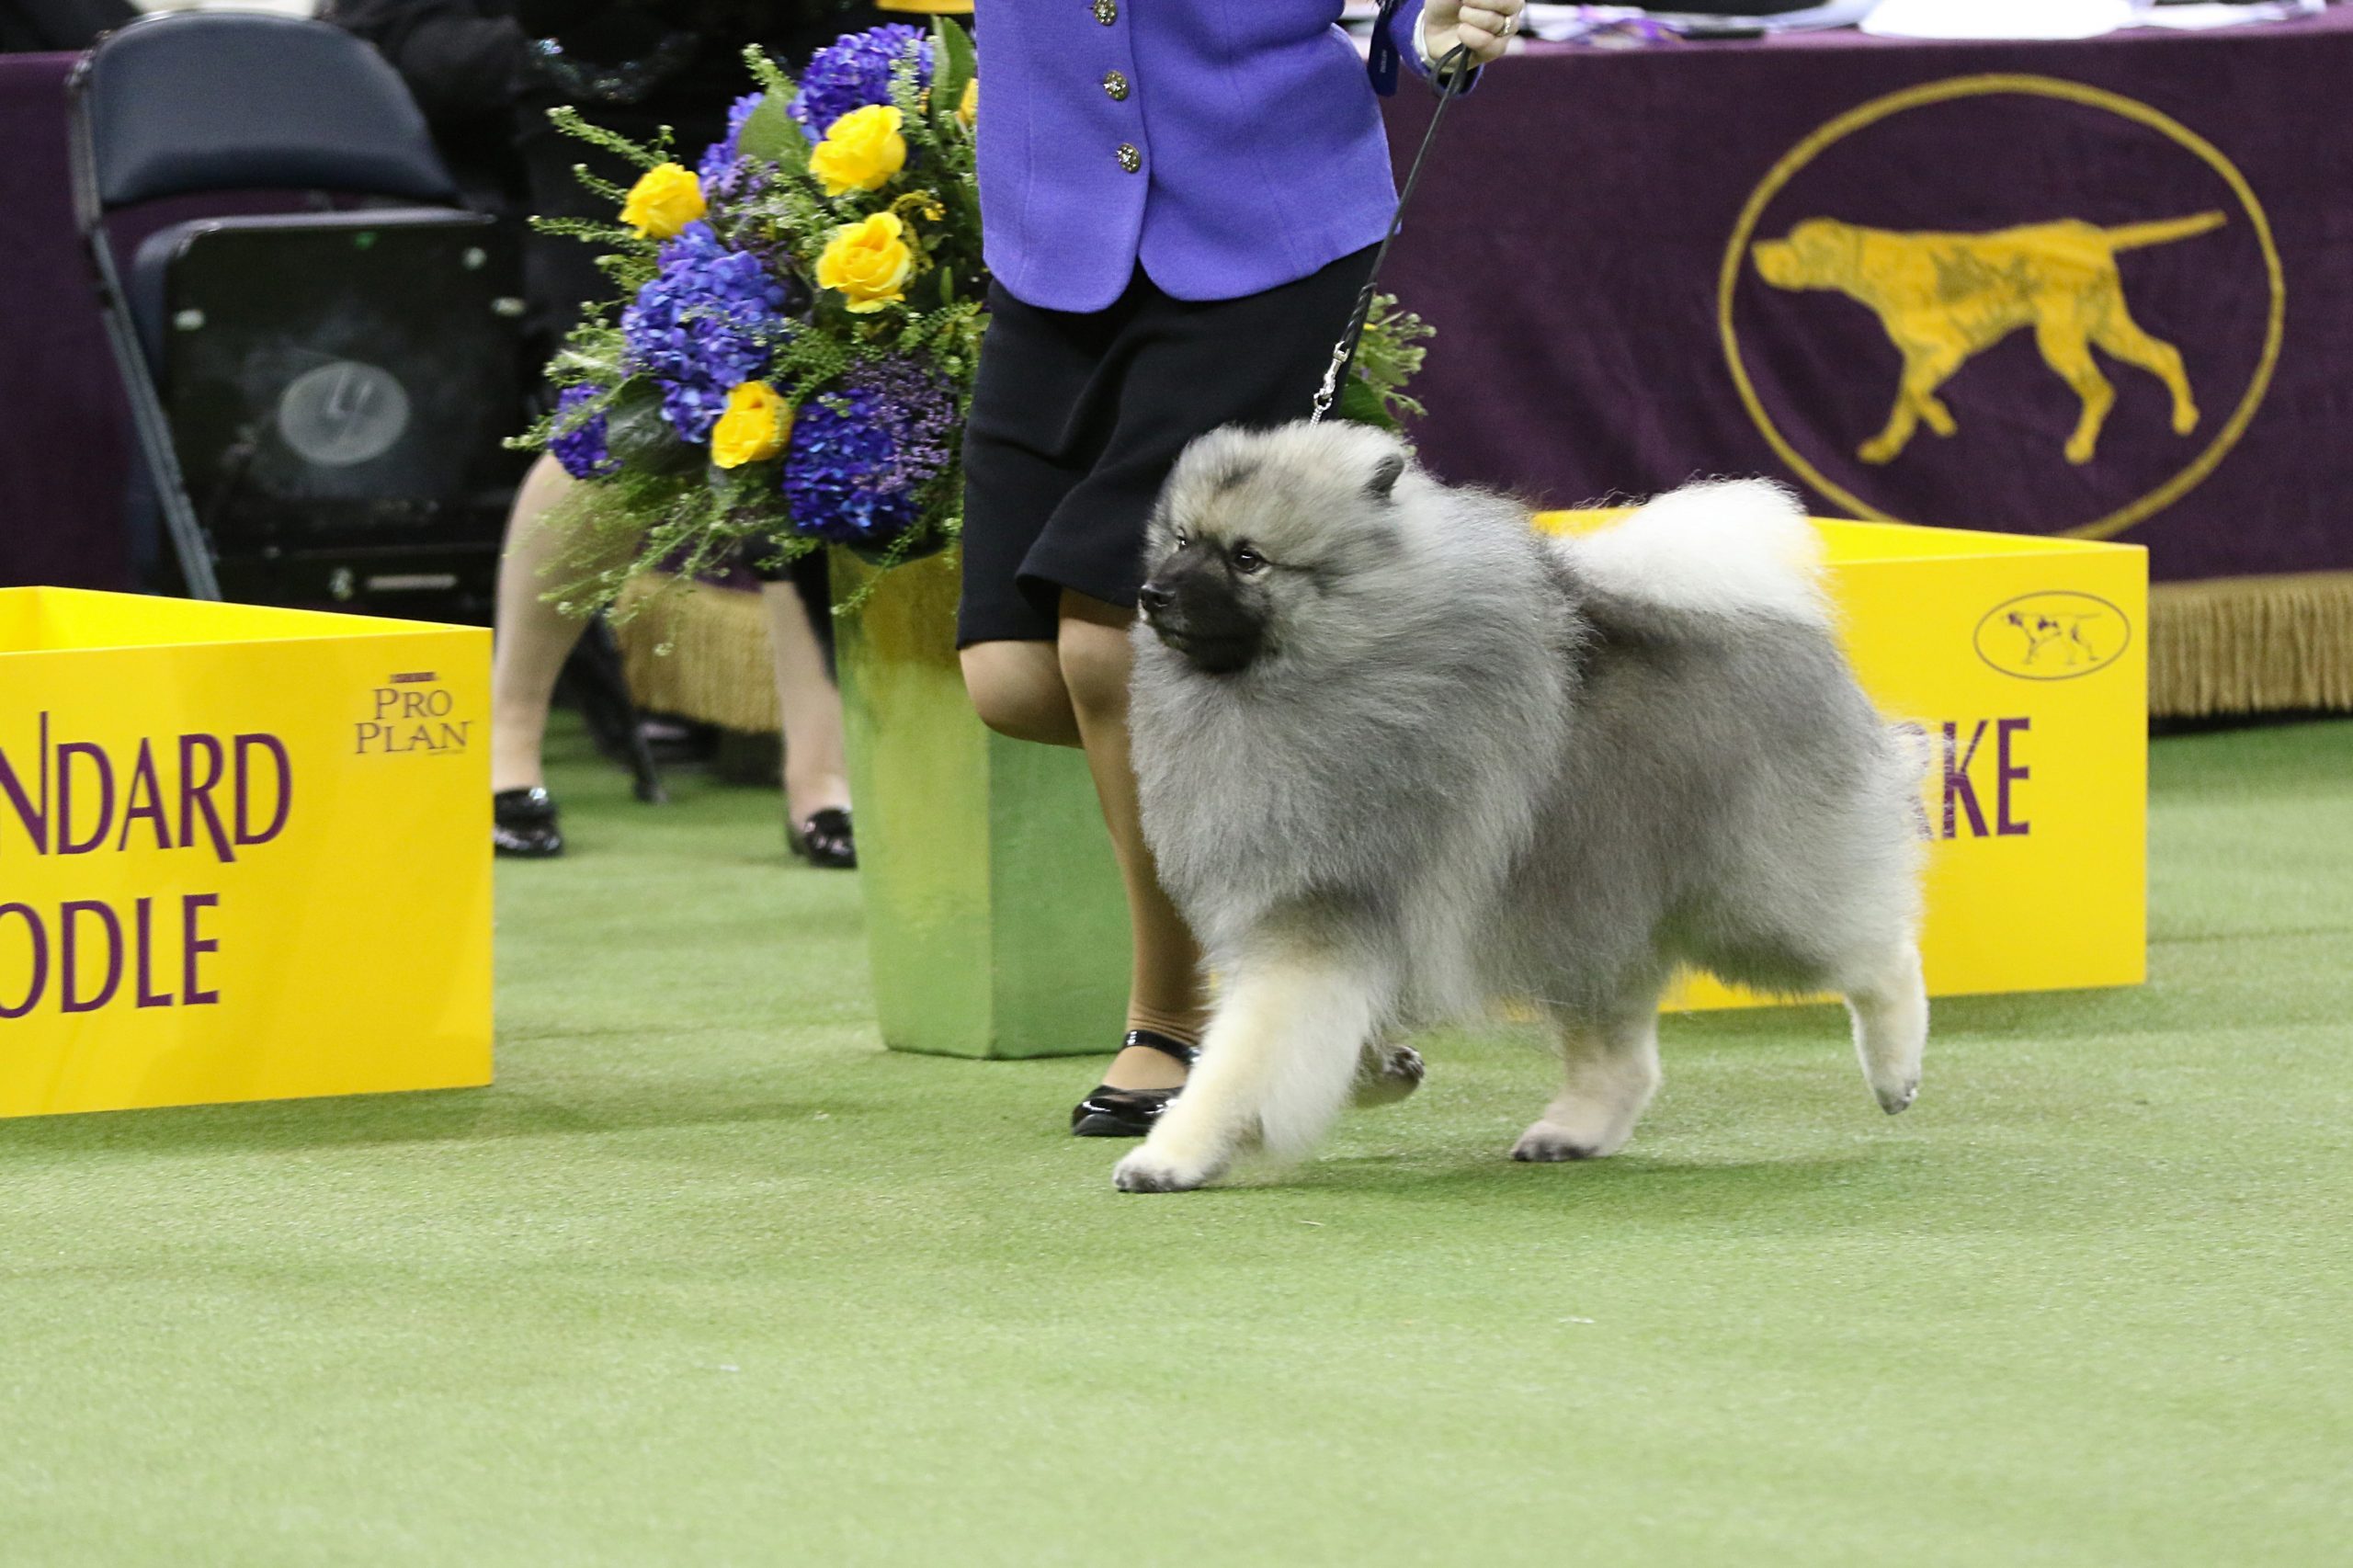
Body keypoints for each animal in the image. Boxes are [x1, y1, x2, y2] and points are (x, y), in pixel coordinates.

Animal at [1120, 421, 1929, 1191]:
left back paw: (1896, 1072)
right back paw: (1571, 1133)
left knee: (1879, 954)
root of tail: (1779, 615)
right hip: (1591, 905)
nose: (1153, 593)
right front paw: (1383, 1072)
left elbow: (1244, 1056)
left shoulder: (1319, 913)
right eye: (1183, 540)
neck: (1353, 656)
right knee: (1622, 1058)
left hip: (1757, 902)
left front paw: (1172, 1156)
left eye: (1247, 558)